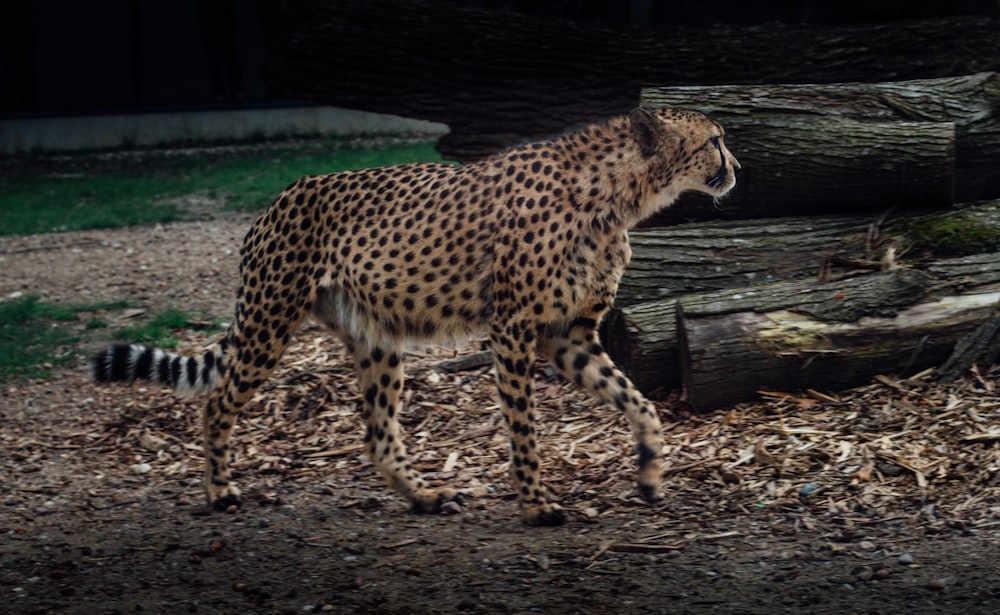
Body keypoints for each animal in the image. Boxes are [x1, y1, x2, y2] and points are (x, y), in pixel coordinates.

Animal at [92, 108, 736, 528]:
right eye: (714, 141)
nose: (736, 167)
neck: (619, 197)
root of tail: (280, 196)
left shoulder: (568, 334)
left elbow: (640, 401)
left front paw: (650, 473)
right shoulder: (514, 329)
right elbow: (524, 429)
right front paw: (536, 505)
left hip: (376, 339)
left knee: (378, 436)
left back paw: (424, 498)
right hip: (268, 325)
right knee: (217, 401)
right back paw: (221, 490)